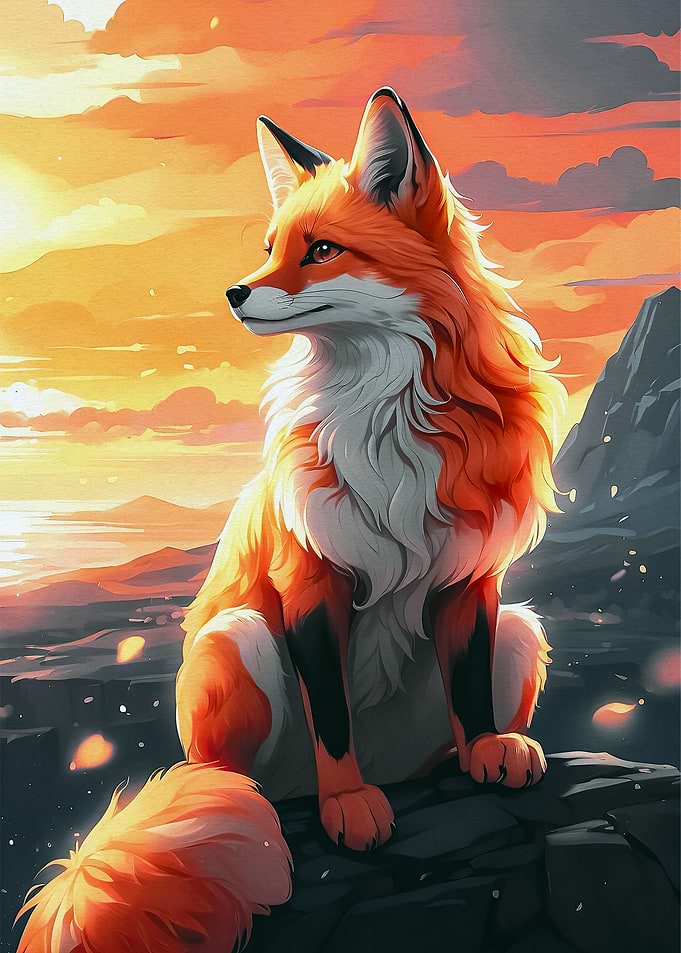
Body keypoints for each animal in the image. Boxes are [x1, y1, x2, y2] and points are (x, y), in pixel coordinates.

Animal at [17, 88, 564, 953]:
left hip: (521, 626)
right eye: (272, 246)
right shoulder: (310, 579)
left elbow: (468, 684)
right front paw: (348, 804)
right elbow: (331, 716)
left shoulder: (473, 576)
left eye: (322, 251)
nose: (233, 293)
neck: (389, 416)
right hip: (236, 640)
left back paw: (449, 764)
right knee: (254, 788)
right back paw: (298, 801)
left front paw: (483, 749)